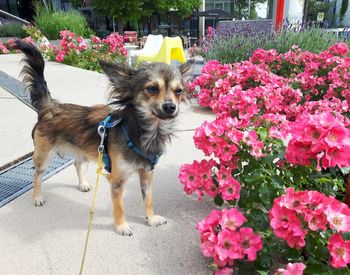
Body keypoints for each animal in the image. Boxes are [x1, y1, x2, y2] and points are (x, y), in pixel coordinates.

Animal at [15, 41, 194, 237]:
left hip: (80, 149)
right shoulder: (117, 180)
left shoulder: (147, 174)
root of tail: (49, 107)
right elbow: (119, 207)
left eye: (179, 91)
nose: (170, 106)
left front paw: (151, 219)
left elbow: (148, 199)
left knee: (77, 163)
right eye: (152, 88)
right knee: (38, 175)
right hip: (43, 155)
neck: (145, 132)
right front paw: (121, 226)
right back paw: (37, 197)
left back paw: (83, 184)